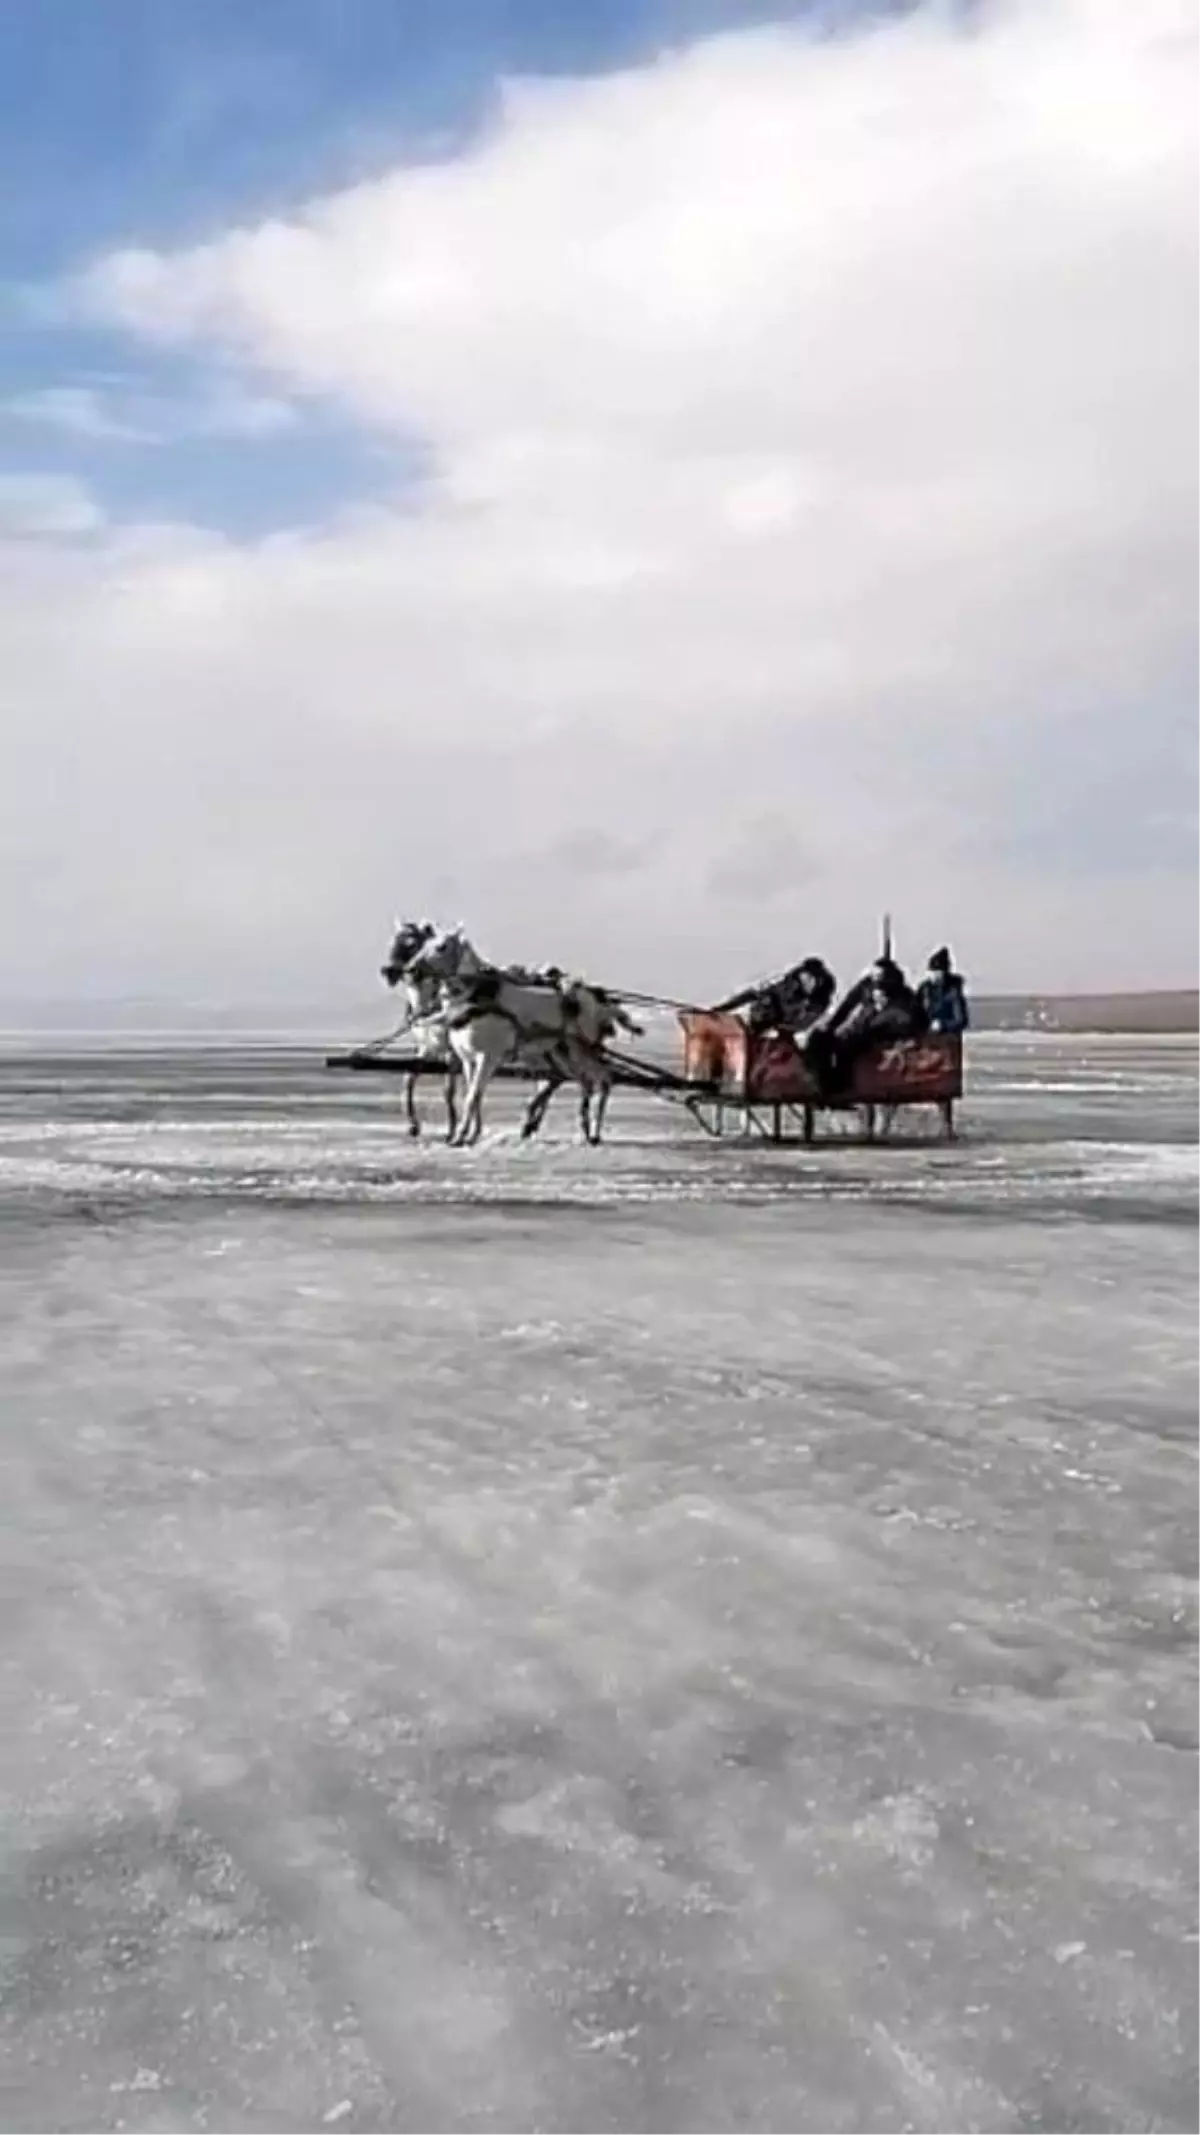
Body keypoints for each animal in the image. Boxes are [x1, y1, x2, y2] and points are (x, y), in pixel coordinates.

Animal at [405, 922, 640, 1144]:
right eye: (423, 945)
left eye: (442, 947)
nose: (411, 970)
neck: (478, 998)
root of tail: (601, 1002)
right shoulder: (467, 1059)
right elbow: (473, 1094)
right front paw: (470, 1134)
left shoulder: (487, 1057)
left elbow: (472, 1096)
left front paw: (460, 1135)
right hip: (562, 1054)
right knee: (583, 1081)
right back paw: (579, 1126)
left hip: (580, 1052)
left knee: (603, 1080)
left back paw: (593, 1131)